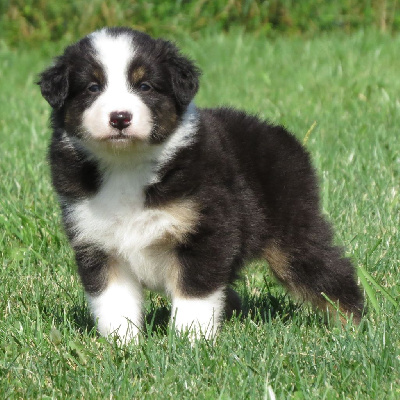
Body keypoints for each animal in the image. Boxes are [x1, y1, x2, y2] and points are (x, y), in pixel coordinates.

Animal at [39, 27, 364, 340]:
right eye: (93, 87)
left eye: (145, 86)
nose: (120, 118)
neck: (126, 165)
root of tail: (281, 134)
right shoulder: (97, 243)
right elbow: (114, 302)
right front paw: (122, 345)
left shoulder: (207, 230)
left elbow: (194, 294)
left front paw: (190, 342)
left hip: (292, 235)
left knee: (331, 273)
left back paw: (354, 326)